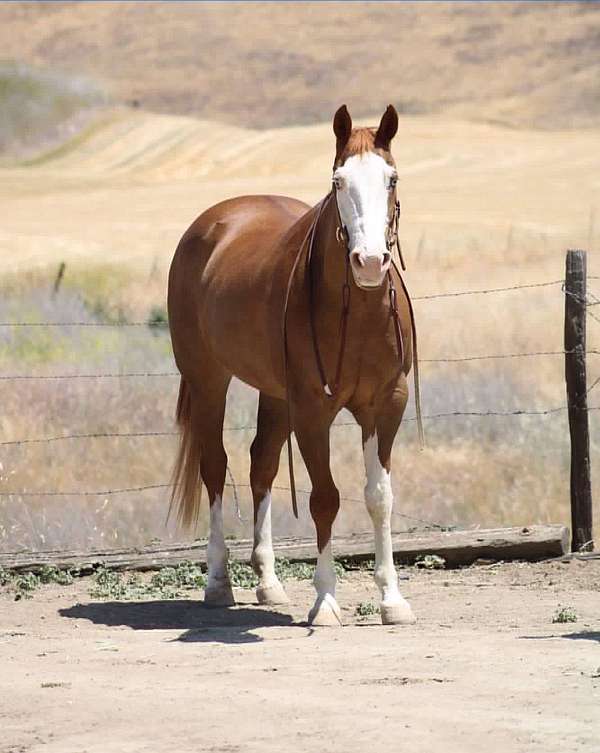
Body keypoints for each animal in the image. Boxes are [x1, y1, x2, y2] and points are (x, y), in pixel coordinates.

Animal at [167, 104, 417, 626]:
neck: (357, 315)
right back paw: (218, 581)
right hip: (207, 381)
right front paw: (325, 602)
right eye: (339, 180)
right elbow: (325, 498)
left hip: (275, 395)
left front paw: (392, 598)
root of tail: (213, 223)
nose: (369, 262)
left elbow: (379, 497)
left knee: (261, 465)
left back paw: (268, 583)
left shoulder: (387, 405)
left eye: (392, 178)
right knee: (214, 467)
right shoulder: (312, 411)